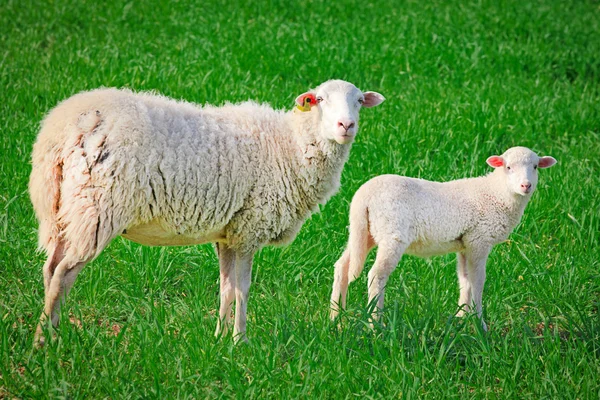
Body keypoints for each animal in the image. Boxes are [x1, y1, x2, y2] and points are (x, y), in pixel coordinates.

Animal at [29, 79, 384, 346]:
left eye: (358, 101)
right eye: (319, 100)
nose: (346, 125)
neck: (290, 146)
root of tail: (59, 133)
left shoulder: (228, 233)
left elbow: (225, 287)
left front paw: (219, 339)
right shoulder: (249, 229)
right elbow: (242, 288)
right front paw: (241, 340)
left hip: (65, 209)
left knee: (50, 268)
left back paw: (50, 330)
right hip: (97, 208)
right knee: (63, 274)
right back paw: (45, 342)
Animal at [330, 145, 556, 330]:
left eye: (535, 167)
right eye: (508, 167)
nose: (526, 186)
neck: (497, 193)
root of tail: (363, 196)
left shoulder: (465, 244)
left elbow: (465, 280)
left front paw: (461, 318)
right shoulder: (479, 240)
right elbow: (478, 281)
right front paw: (480, 324)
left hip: (364, 232)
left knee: (342, 266)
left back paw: (337, 319)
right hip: (391, 234)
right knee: (376, 275)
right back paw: (375, 323)